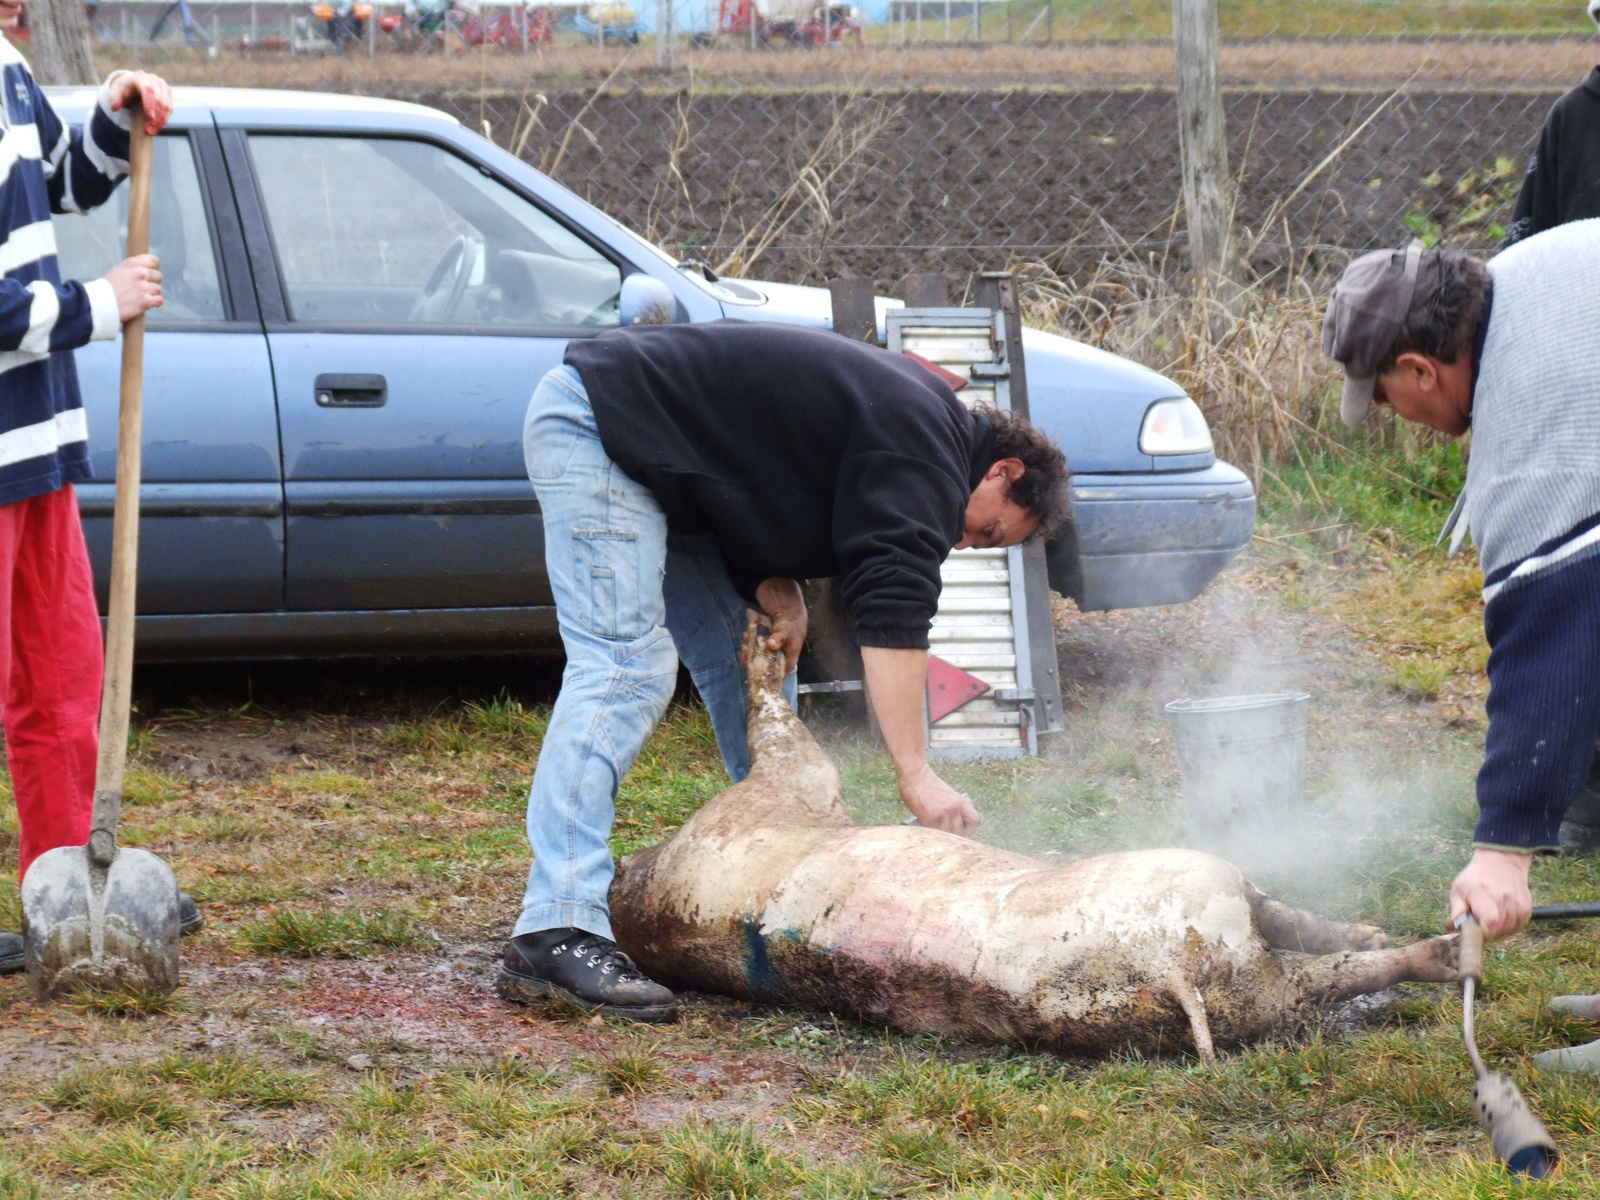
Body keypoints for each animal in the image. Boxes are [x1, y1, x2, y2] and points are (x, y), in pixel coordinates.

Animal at [611, 620, 1465, 1062]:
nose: (619, 871)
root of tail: (1173, 971)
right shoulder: (792, 783)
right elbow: (775, 718)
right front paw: (764, 643)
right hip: (1209, 900)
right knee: (1300, 931)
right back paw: (1436, 950)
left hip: (1244, 987)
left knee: (1318, 959)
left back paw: (1417, 947)